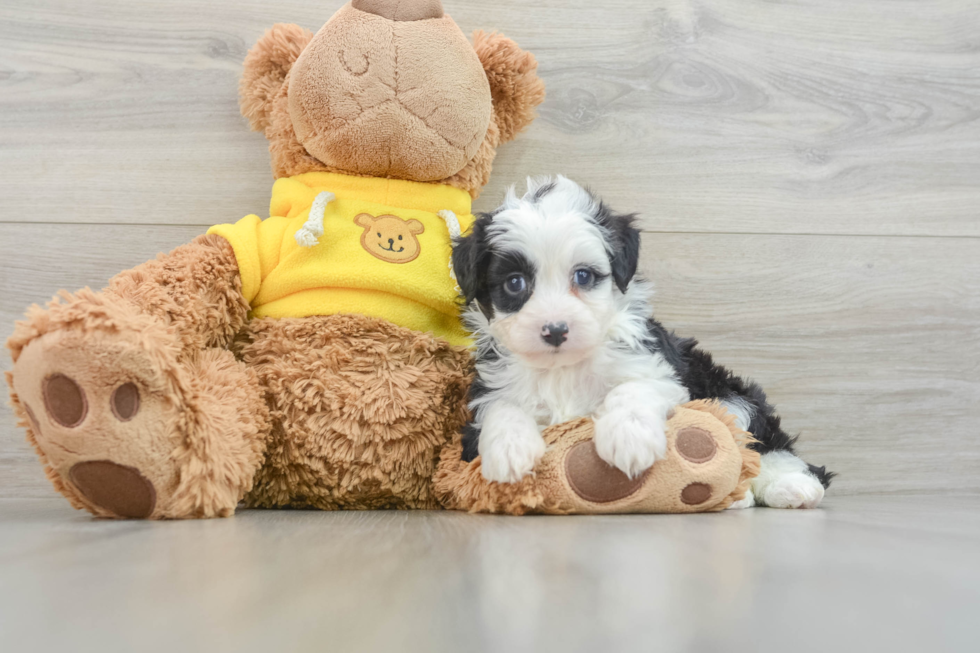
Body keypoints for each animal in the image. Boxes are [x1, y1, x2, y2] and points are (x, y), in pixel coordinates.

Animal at [452, 177, 836, 510]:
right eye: (515, 283)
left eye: (583, 276)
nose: (556, 330)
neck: (564, 367)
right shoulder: (488, 389)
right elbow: (501, 407)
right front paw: (509, 451)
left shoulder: (659, 370)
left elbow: (634, 388)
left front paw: (629, 437)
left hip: (728, 394)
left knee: (764, 442)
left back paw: (789, 486)